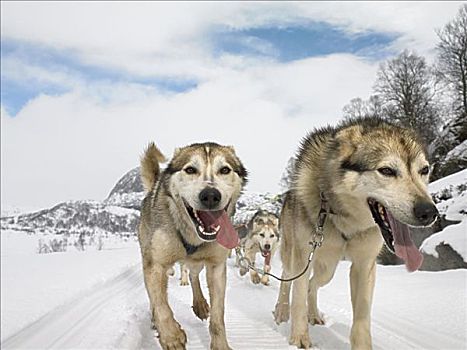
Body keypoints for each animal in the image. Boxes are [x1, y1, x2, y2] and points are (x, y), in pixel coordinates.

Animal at [139, 142, 249, 350]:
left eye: (225, 170)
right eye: (190, 169)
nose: (211, 196)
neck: (192, 236)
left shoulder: (216, 266)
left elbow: (218, 315)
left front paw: (220, 344)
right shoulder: (156, 265)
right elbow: (161, 305)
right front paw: (171, 336)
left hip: (197, 262)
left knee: (193, 275)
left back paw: (199, 304)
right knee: (155, 297)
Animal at [274, 118, 438, 350]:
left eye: (424, 170)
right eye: (387, 170)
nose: (429, 212)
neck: (344, 219)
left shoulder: (364, 265)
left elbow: (362, 318)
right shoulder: (302, 257)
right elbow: (297, 300)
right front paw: (299, 339)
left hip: (327, 269)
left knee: (313, 285)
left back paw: (313, 314)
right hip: (297, 257)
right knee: (288, 280)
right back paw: (281, 310)